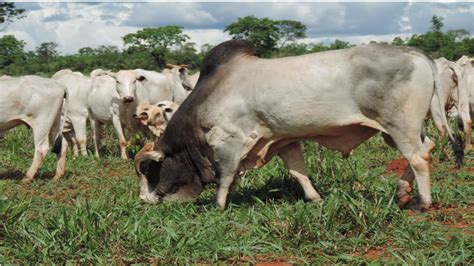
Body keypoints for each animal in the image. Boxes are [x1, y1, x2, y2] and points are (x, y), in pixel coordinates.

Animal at [134, 40, 462, 210]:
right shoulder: (284, 140)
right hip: (403, 129)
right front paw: (314, 198)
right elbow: (298, 172)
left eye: (147, 170)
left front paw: (219, 206)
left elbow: (223, 177)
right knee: (427, 147)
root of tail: (415, 52)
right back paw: (402, 191)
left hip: (400, 125)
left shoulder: (228, 141)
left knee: (418, 158)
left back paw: (423, 202)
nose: (143, 201)